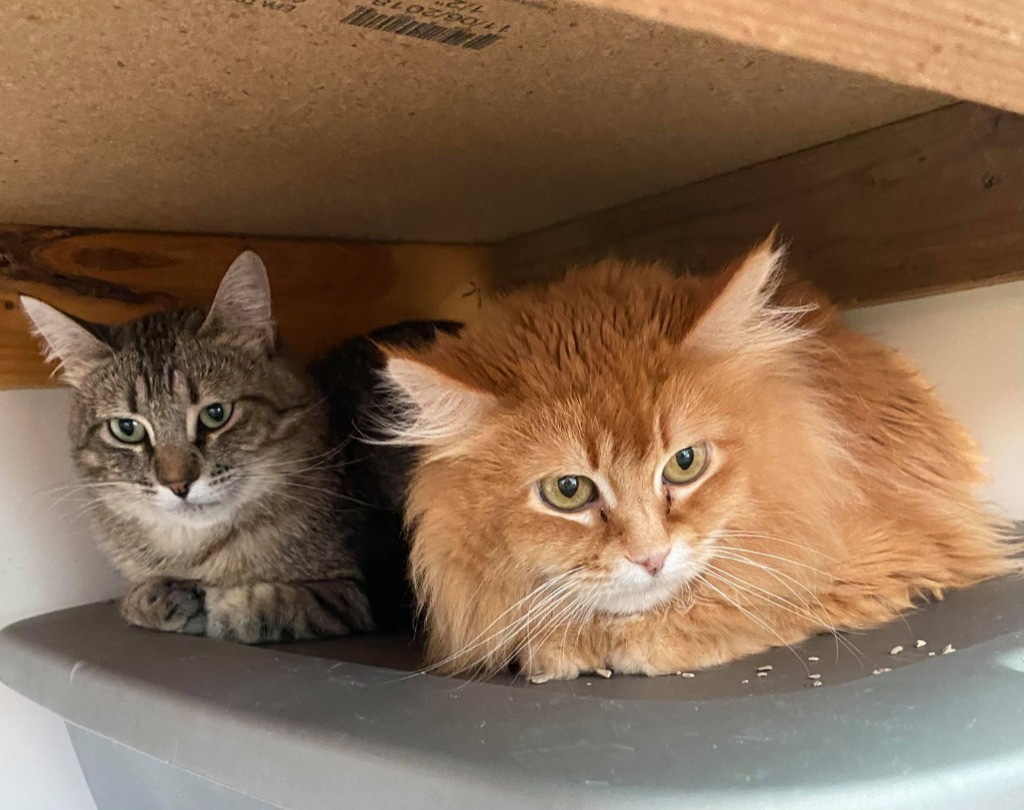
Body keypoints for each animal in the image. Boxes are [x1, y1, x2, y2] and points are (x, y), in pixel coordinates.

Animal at [18, 249, 452, 643]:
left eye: (216, 414)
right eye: (127, 428)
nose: (177, 484)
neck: (195, 553)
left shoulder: (360, 591)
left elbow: (273, 604)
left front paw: (213, 604)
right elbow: (134, 597)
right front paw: (154, 598)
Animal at [382, 235, 1015, 684]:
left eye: (685, 462)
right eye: (568, 490)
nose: (651, 558)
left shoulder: (887, 553)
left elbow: (742, 598)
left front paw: (631, 639)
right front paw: (563, 642)